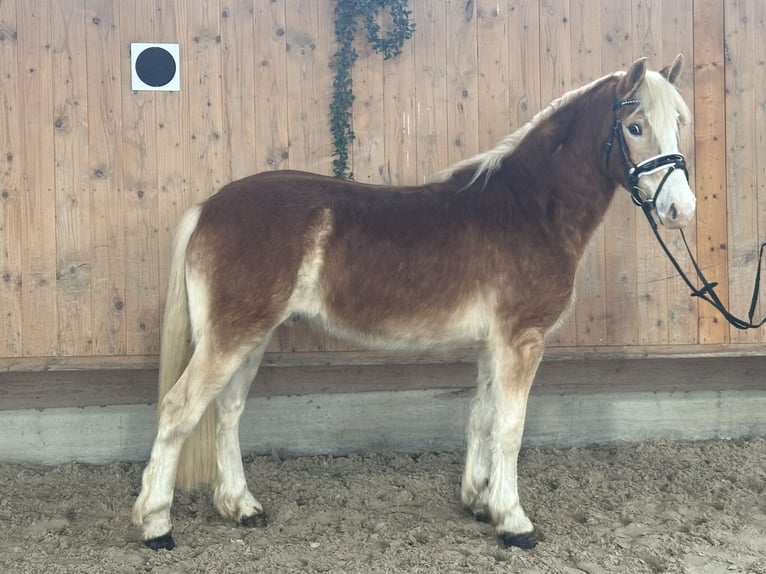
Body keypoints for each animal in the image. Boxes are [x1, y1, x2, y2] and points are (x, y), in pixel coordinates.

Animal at [132, 55, 696, 552]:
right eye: (635, 126)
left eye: (678, 122)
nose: (680, 210)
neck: (528, 207)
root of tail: (208, 208)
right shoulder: (522, 340)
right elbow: (510, 428)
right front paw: (514, 522)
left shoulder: (493, 344)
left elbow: (481, 417)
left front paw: (479, 502)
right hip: (232, 335)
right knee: (180, 409)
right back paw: (156, 526)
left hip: (253, 334)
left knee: (227, 410)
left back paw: (241, 506)